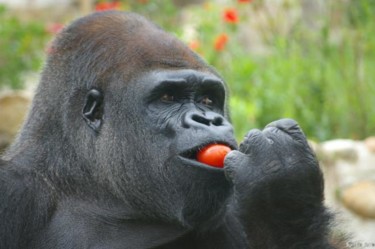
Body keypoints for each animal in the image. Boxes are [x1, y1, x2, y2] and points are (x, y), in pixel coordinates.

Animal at [0, 11, 334, 249]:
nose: (208, 120)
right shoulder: (13, 190)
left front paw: (287, 199)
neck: (89, 186)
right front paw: (282, 184)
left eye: (208, 100)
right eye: (168, 98)